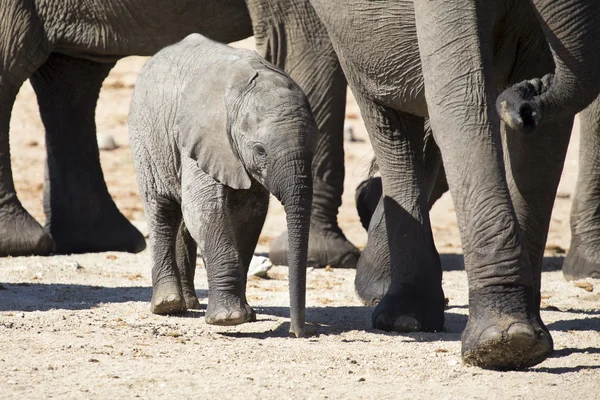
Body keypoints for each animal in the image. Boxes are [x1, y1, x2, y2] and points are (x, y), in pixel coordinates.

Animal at [0, 1, 360, 268]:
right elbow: (309, 46)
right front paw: (324, 257)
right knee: (14, 63)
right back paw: (23, 243)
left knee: (73, 77)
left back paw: (99, 240)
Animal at [129, 33, 316, 338]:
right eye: (260, 151)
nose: (296, 332)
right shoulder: (203, 135)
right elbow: (206, 209)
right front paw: (229, 319)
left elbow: (249, 216)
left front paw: (246, 315)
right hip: (146, 137)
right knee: (161, 210)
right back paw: (168, 305)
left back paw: (190, 304)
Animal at [308, 0, 596, 370]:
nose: (521, 103)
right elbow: (462, 100)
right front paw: (503, 344)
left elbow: (545, 138)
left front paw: (521, 339)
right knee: (391, 119)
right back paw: (406, 318)